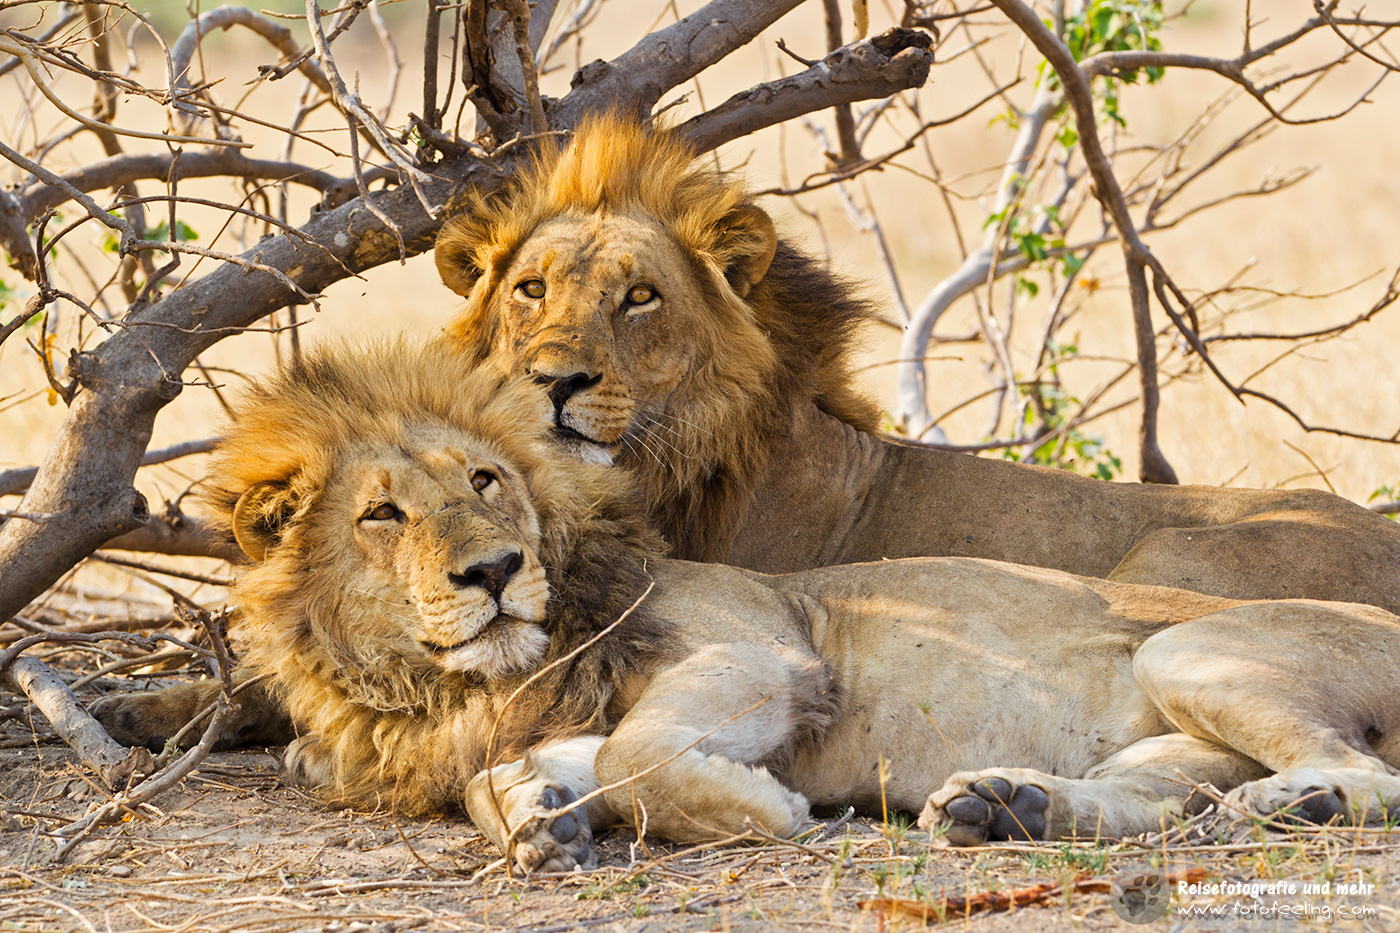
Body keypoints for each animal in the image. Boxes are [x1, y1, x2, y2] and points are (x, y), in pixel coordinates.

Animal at [108, 340, 1400, 872]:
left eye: (484, 483)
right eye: (383, 514)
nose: (493, 572)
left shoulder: (765, 652)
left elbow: (634, 754)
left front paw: (758, 815)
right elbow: (517, 774)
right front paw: (536, 821)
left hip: (1190, 650)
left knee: (1368, 779)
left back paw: (1293, 805)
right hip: (1165, 731)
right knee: (1162, 800)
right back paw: (1007, 806)